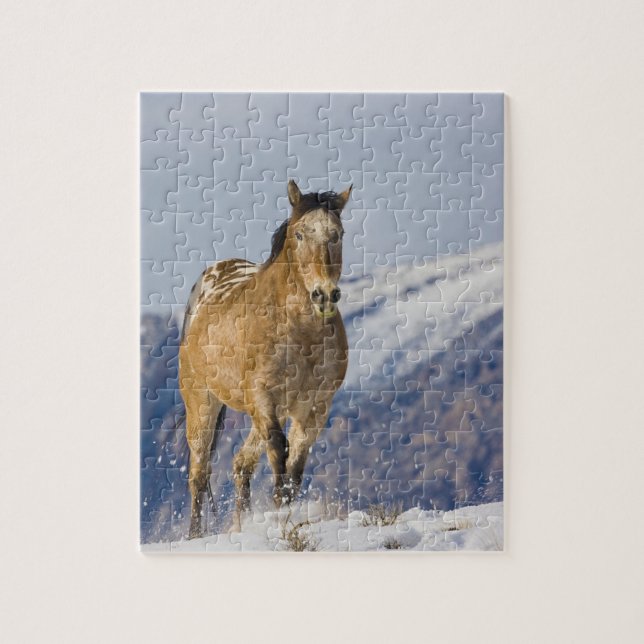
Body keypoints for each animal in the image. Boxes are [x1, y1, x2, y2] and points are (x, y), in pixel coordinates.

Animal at [179, 180, 351, 538]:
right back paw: (195, 535)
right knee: (199, 474)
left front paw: (285, 513)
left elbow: (295, 465)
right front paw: (279, 514)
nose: (324, 295)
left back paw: (239, 526)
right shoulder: (262, 398)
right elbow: (278, 451)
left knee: (241, 463)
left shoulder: (314, 407)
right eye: (299, 234)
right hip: (202, 403)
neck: (299, 332)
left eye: (338, 234)